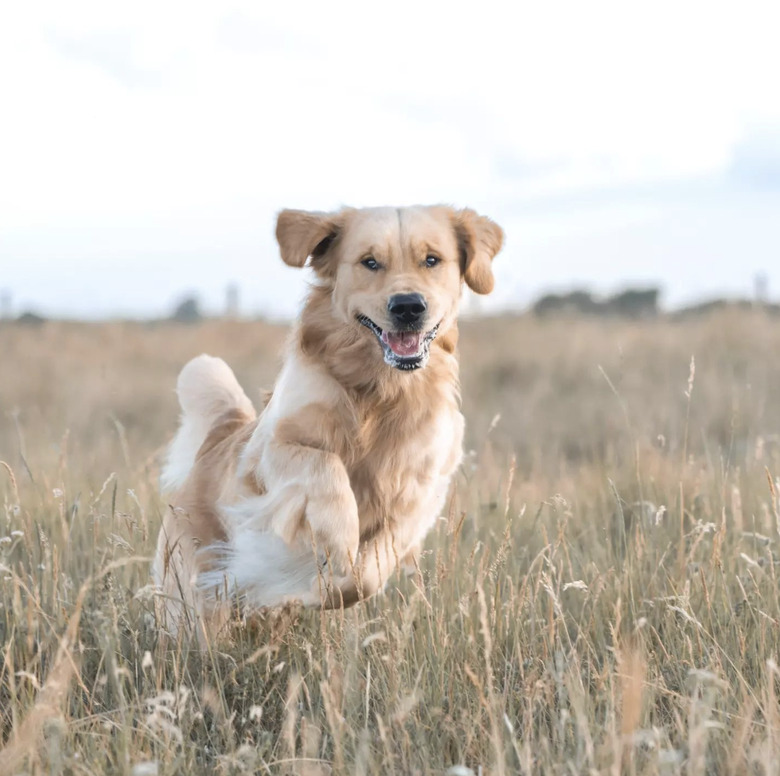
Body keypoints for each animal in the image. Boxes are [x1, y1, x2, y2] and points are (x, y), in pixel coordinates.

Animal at [153, 206, 506, 636]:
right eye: (370, 262)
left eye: (432, 260)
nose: (408, 306)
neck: (380, 391)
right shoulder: (271, 452)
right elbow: (326, 466)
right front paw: (338, 539)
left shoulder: (421, 490)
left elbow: (371, 568)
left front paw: (325, 586)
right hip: (192, 595)